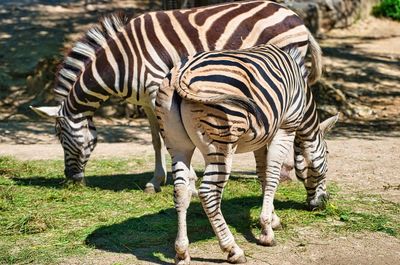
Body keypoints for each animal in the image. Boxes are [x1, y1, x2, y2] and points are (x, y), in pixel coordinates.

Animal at [29, 1, 322, 193]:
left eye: (61, 138)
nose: (71, 180)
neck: (122, 61)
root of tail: (294, 15)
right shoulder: (147, 100)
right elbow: (155, 139)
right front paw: (156, 181)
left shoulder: (157, 88)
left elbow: (170, 136)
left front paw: (188, 182)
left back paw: (284, 173)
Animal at [156, 43, 338, 262]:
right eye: (326, 153)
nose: (323, 202)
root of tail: (181, 73)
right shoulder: (286, 128)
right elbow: (273, 176)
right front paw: (267, 231)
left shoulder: (262, 138)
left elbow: (263, 175)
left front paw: (273, 219)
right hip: (221, 144)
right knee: (208, 193)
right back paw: (232, 249)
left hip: (177, 145)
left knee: (181, 191)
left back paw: (182, 252)